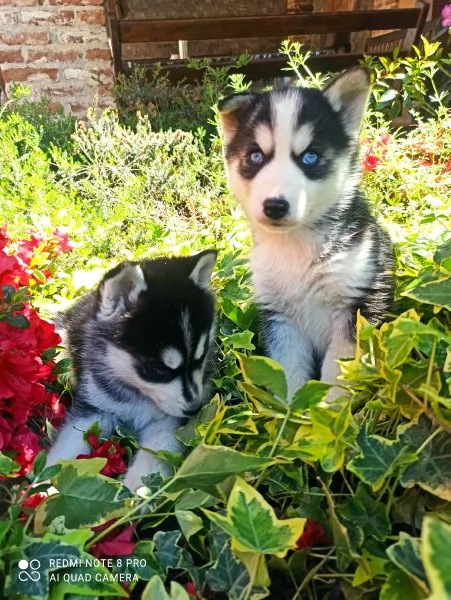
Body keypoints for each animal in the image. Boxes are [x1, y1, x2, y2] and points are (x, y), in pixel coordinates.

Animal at [47, 251, 217, 490]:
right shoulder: (94, 408)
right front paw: (44, 485)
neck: (137, 392)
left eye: (200, 358)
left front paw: (138, 490)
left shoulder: (168, 421)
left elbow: (157, 453)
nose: (195, 409)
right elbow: (67, 445)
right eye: (156, 369)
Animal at [220, 68, 396, 398]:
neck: (296, 248)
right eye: (255, 156)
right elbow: (287, 373)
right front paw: (291, 409)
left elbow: (338, 373)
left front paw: (327, 408)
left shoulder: (356, 307)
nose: (275, 205)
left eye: (310, 157)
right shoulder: (280, 318)